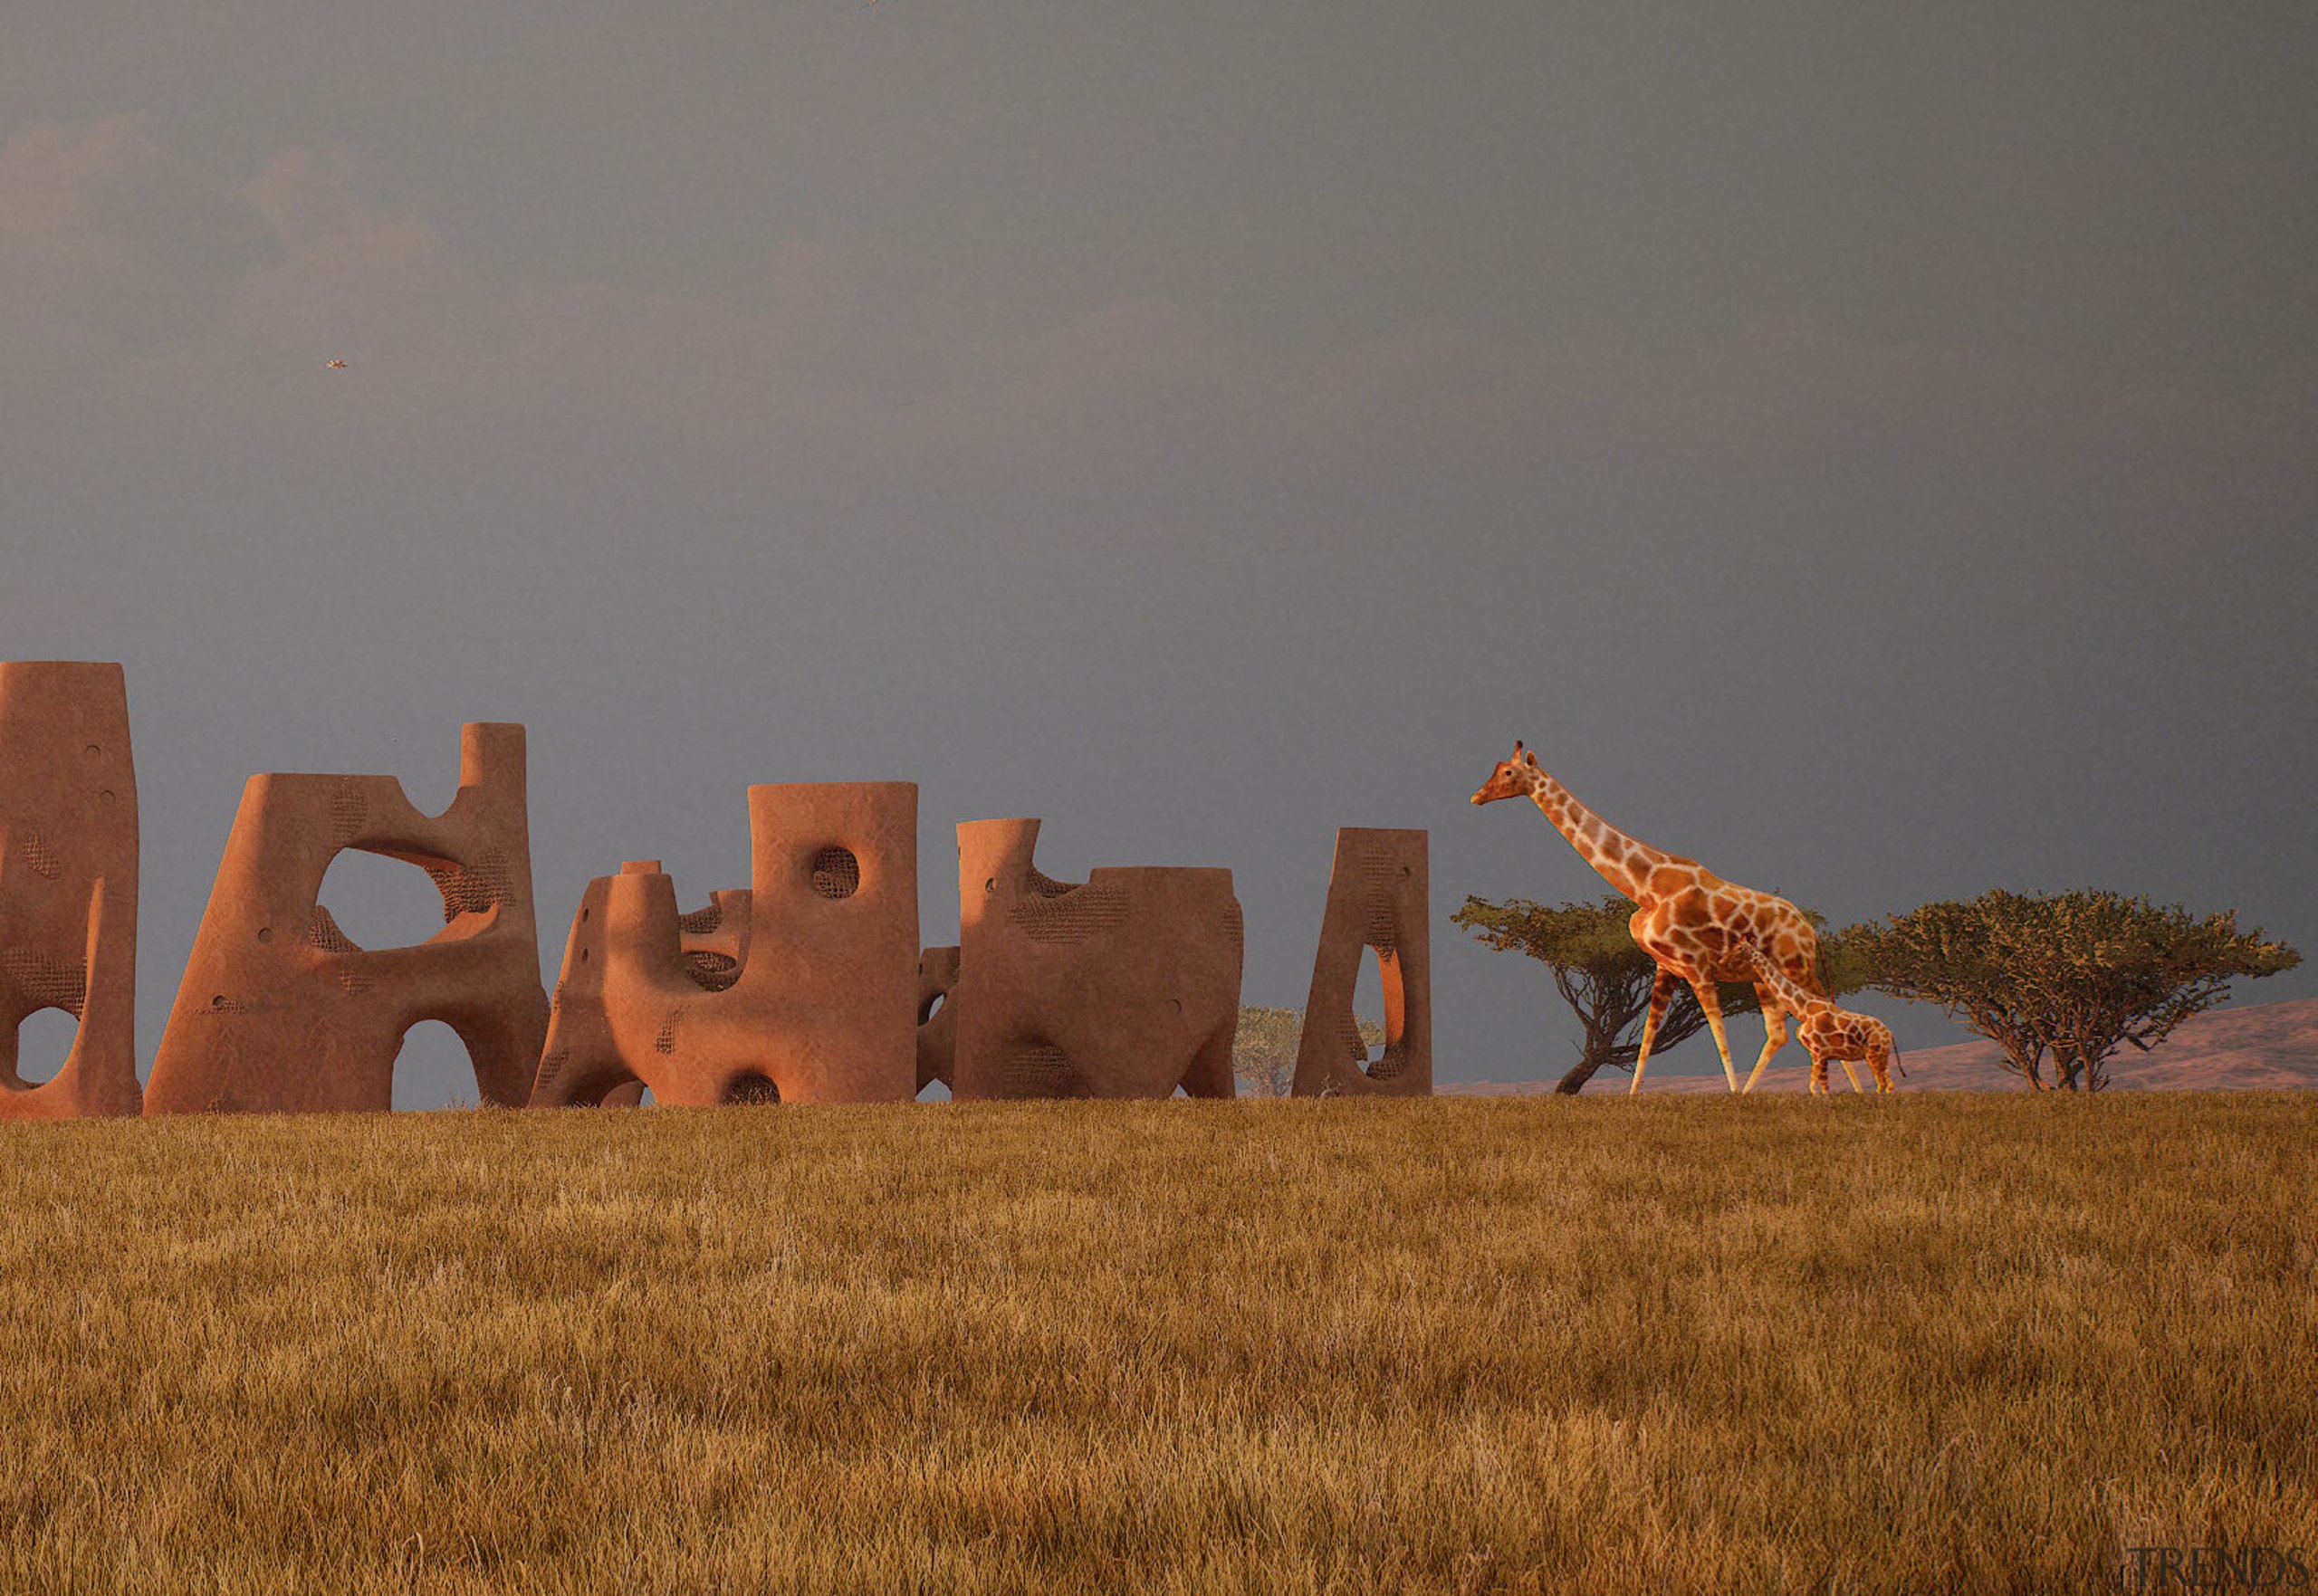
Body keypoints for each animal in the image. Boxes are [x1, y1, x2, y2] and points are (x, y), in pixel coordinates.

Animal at [1469, 741, 1824, 1094]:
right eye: (1496, 767)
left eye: (1508, 772)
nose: (1476, 797)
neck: (1646, 888)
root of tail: (1810, 932)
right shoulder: (1665, 967)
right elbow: (1647, 1040)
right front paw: (1632, 1096)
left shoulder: (1697, 966)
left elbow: (1718, 1034)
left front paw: (1733, 1095)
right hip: (1761, 977)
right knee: (1778, 1032)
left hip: (1796, 968)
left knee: (1820, 1010)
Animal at [1736, 938, 1903, 1094]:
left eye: (1739, 948)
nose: (1729, 958)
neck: (1803, 1010)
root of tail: (1890, 1033)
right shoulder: (1814, 1053)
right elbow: (1815, 1087)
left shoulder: (1820, 1052)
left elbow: (1821, 1088)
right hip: (1882, 1055)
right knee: (1889, 1085)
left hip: (1873, 1053)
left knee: (1882, 1085)